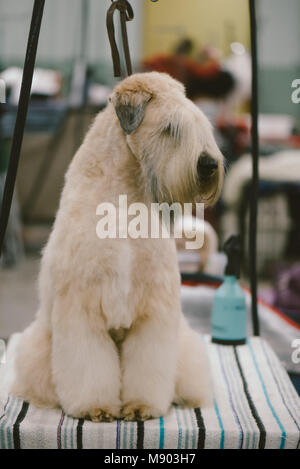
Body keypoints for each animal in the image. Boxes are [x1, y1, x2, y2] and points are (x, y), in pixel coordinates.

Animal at [11, 72, 223, 420]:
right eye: (170, 128)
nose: (208, 165)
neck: (124, 201)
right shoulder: (81, 308)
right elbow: (88, 365)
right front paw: (95, 407)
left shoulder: (154, 311)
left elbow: (149, 365)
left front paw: (142, 406)